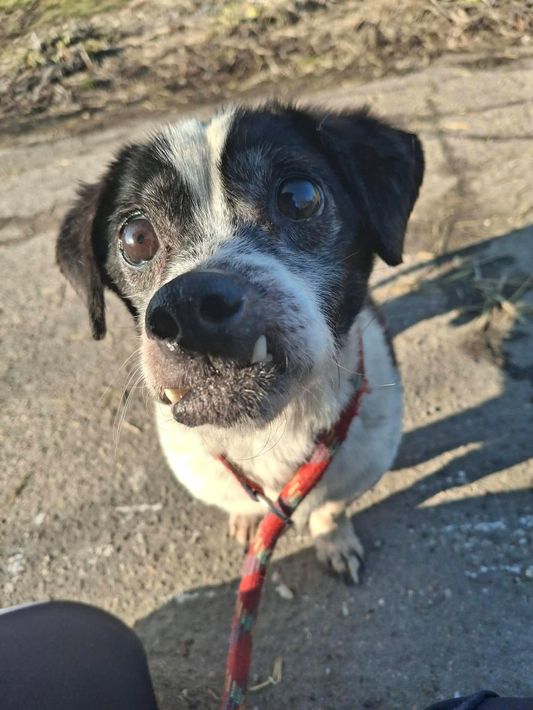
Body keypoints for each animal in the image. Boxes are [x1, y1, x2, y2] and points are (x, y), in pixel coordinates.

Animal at [57, 102, 424, 583]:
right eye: (135, 237)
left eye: (299, 197)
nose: (189, 307)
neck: (270, 431)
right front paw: (250, 520)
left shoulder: (358, 468)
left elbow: (331, 508)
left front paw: (334, 539)